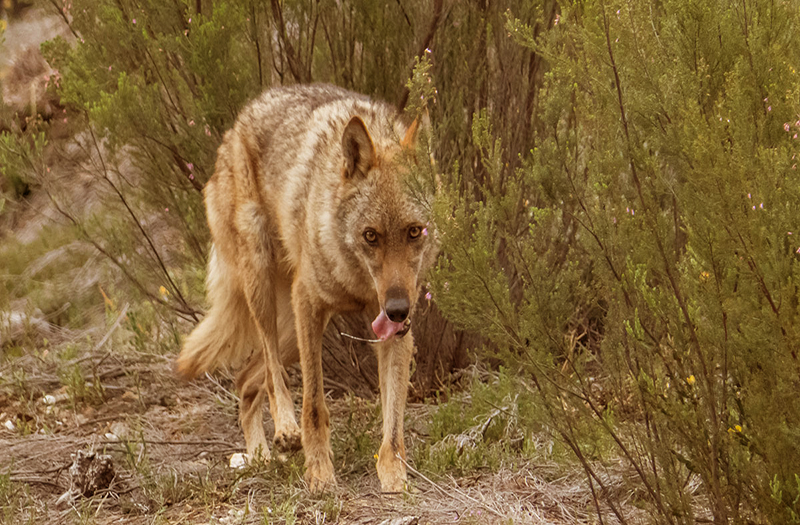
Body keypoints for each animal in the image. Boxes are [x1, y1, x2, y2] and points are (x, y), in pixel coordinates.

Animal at [176, 83, 438, 492]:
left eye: (414, 231)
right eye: (371, 236)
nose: (397, 309)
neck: (358, 282)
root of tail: (236, 126)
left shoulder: (396, 332)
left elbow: (394, 421)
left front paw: (394, 477)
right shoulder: (310, 303)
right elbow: (314, 404)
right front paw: (319, 474)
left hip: (291, 332)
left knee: (245, 380)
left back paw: (260, 457)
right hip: (267, 293)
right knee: (270, 373)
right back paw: (284, 430)